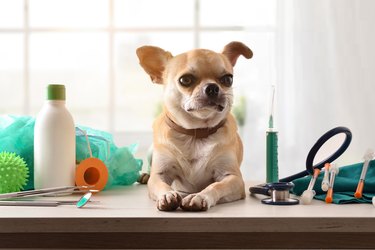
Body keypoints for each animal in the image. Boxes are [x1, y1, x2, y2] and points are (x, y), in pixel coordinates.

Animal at [136, 41, 253, 211]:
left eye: (228, 79)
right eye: (185, 80)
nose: (212, 87)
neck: (196, 133)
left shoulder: (233, 178)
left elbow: (216, 186)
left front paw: (199, 196)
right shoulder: (160, 175)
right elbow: (162, 185)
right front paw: (167, 195)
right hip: (152, 151)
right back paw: (145, 175)